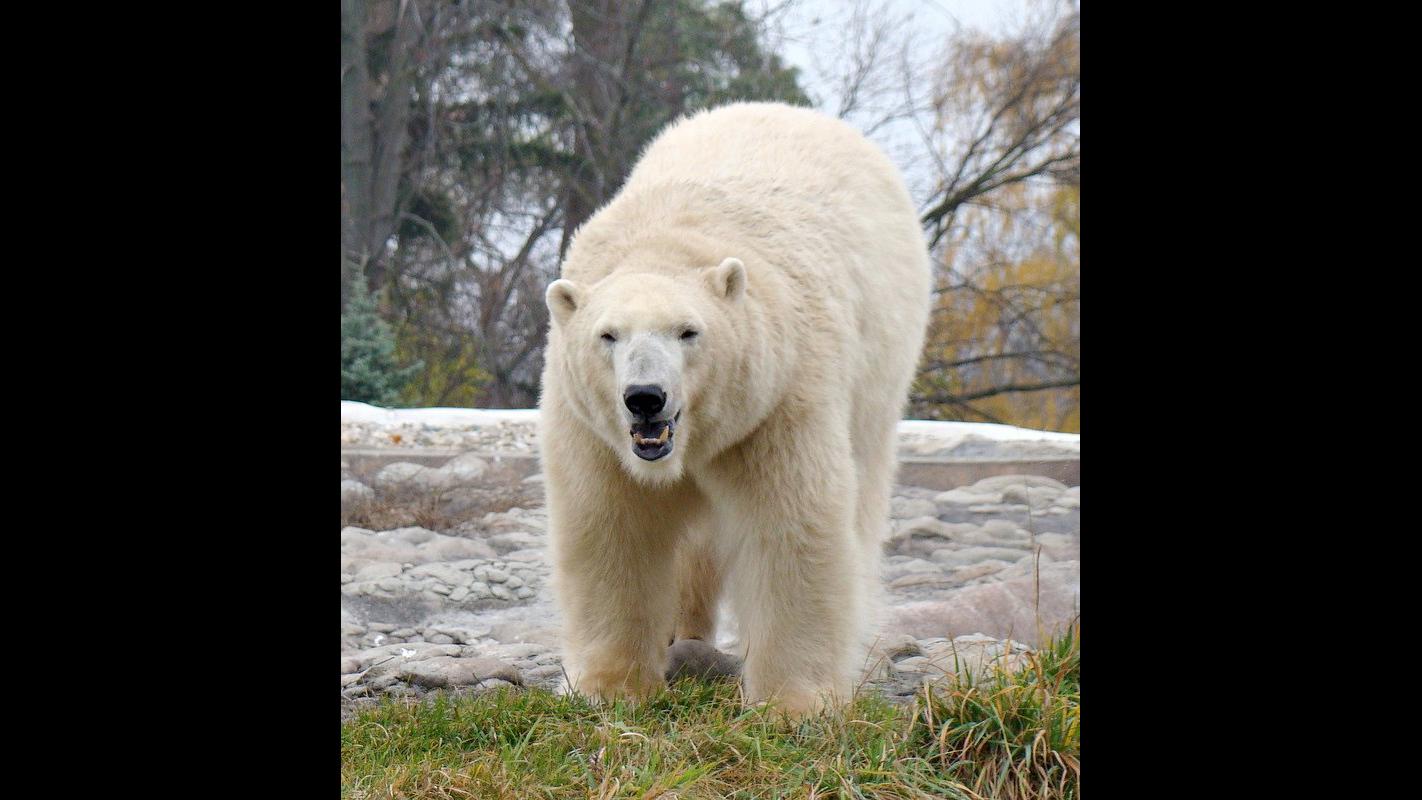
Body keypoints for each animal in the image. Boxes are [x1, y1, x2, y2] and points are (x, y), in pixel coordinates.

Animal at [537, 101, 927, 719]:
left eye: (688, 331)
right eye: (608, 335)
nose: (645, 397)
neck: (667, 239)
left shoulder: (776, 398)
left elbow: (790, 522)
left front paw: (795, 702)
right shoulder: (592, 429)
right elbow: (610, 524)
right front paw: (608, 686)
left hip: (881, 370)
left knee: (862, 497)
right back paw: (682, 633)